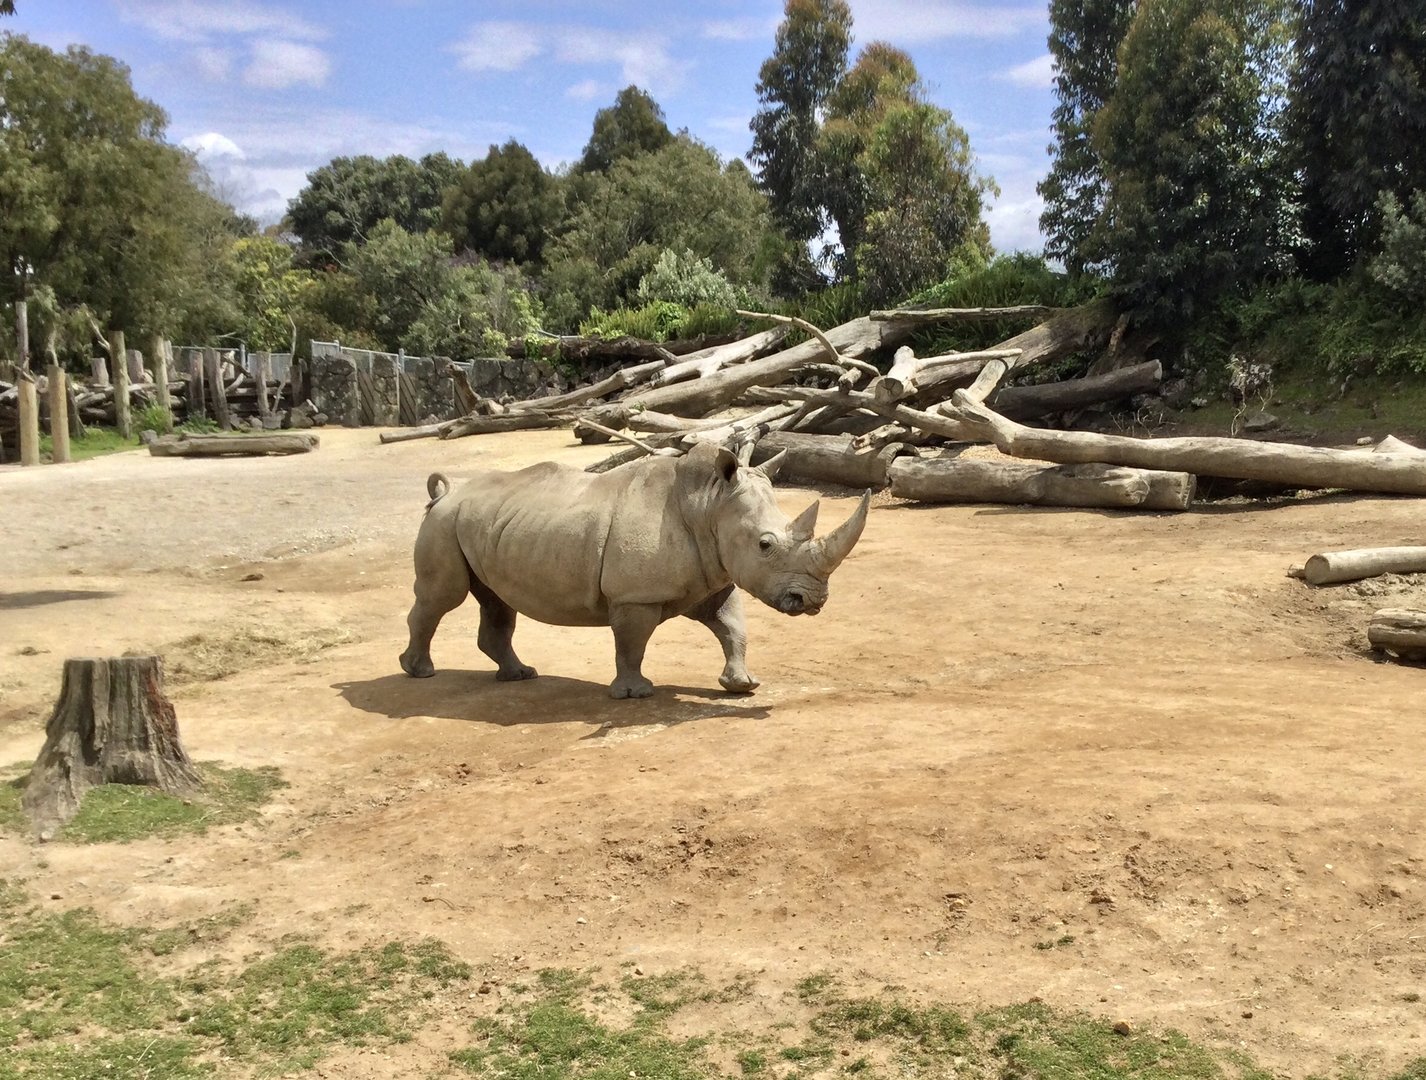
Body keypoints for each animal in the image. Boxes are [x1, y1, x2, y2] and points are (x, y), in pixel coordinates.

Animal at [398, 442, 870, 698]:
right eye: (766, 545)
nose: (813, 601)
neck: (708, 505)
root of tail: (444, 496)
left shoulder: (716, 576)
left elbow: (733, 628)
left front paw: (743, 684)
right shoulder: (634, 595)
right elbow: (632, 643)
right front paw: (634, 693)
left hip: (487, 525)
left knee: (496, 601)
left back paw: (519, 676)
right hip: (444, 524)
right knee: (443, 597)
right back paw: (419, 672)